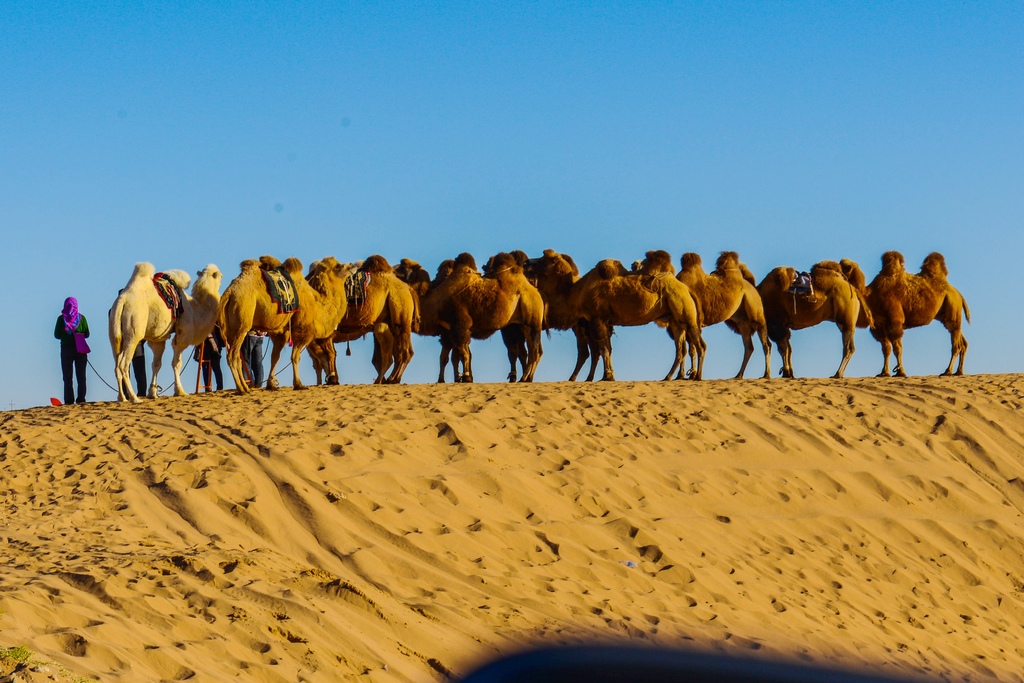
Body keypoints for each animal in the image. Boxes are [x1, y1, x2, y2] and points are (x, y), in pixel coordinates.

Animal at [109, 260, 223, 401]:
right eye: (218, 274)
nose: (223, 275)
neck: (195, 309)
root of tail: (122, 301)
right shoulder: (183, 334)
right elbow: (177, 363)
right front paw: (180, 391)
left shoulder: (158, 339)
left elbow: (156, 364)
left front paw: (152, 393)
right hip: (133, 332)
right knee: (123, 364)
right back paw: (135, 398)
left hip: (114, 334)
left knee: (116, 365)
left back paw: (122, 398)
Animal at [219, 254, 356, 395]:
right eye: (339, 266)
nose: (353, 265)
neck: (316, 304)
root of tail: (229, 293)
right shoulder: (303, 330)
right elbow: (295, 357)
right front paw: (298, 384)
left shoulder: (281, 332)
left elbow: (275, 357)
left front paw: (271, 384)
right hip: (242, 323)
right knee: (232, 357)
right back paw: (242, 389)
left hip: (232, 329)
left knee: (238, 358)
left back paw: (244, 387)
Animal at [305, 255, 417, 385]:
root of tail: (408, 288)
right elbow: (323, 358)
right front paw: (330, 380)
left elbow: (325, 356)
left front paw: (331, 380)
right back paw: (389, 379)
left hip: (400, 307)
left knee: (403, 351)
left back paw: (392, 379)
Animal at [561, 249, 704, 382]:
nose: (633, 264)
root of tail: (687, 289)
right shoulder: (603, 321)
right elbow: (607, 348)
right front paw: (607, 376)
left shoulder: (596, 319)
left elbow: (603, 350)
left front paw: (606, 376)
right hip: (676, 321)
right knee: (681, 350)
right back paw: (670, 377)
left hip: (686, 315)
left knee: (700, 346)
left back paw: (697, 376)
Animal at [679, 252, 770, 382]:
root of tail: (751, 286)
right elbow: (687, 349)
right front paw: (685, 375)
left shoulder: (694, 322)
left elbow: (691, 349)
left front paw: (692, 375)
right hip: (742, 322)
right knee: (749, 347)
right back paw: (738, 375)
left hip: (756, 312)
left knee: (766, 344)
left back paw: (766, 374)